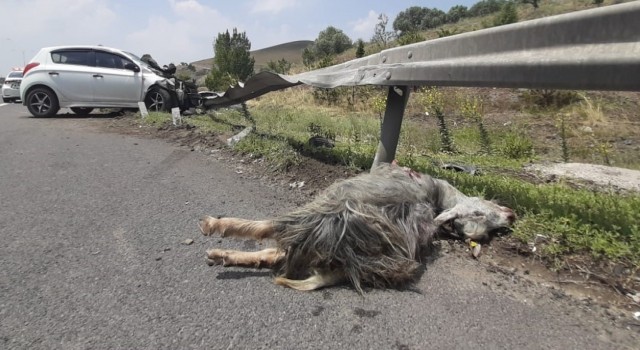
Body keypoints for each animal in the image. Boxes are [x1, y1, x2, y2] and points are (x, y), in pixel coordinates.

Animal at [200, 161, 516, 292]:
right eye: (479, 212)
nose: (511, 215)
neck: (436, 197)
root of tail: (346, 259)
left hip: (316, 218)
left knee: (268, 232)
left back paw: (216, 228)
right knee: (273, 252)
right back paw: (222, 255)